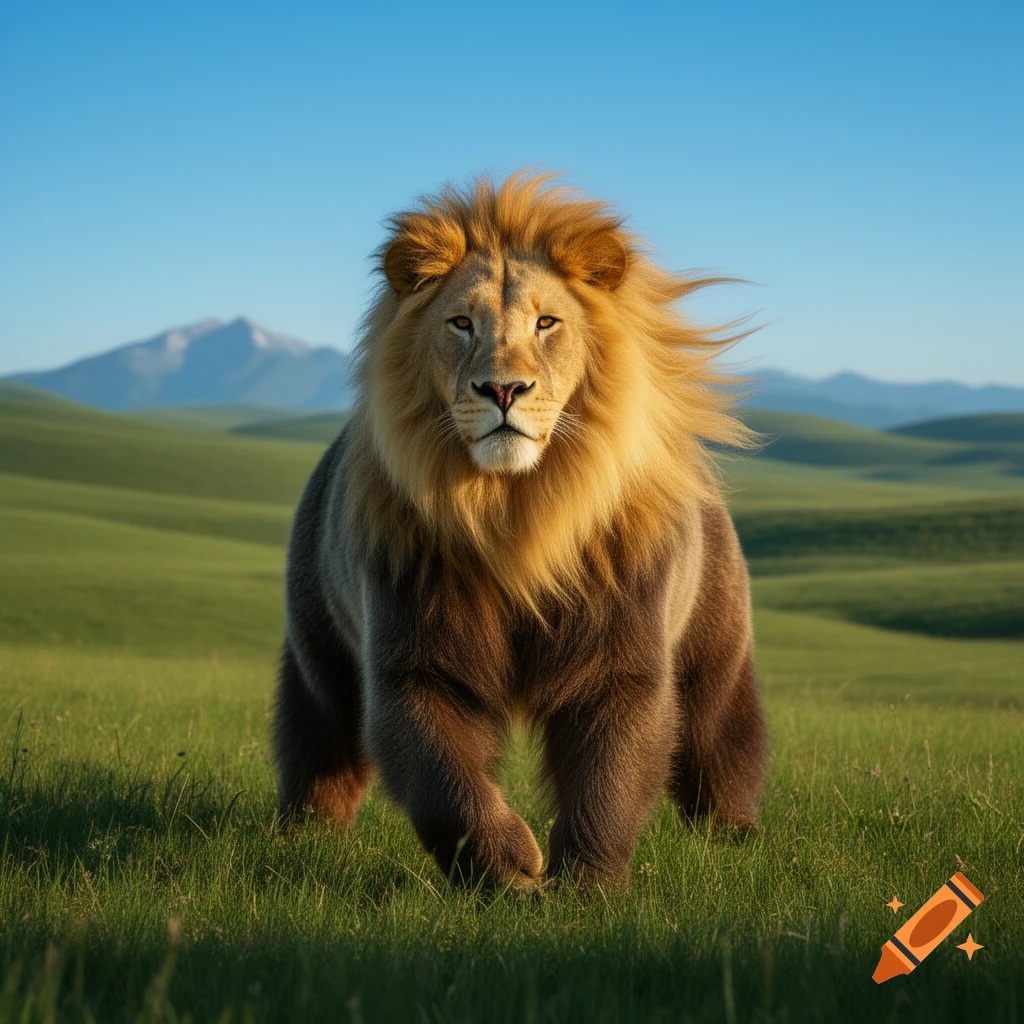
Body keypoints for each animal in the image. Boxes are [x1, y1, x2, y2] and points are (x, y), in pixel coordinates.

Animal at [274, 173, 768, 888]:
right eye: (461, 323)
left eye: (546, 322)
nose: (503, 389)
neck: (516, 513)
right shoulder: (416, 663)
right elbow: (444, 784)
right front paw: (509, 871)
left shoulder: (617, 663)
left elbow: (607, 780)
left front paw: (586, 885)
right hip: (321, 656)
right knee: (318, 744)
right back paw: (303, 837)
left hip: (714, 659)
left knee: (723, 743)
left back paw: (736, 838)